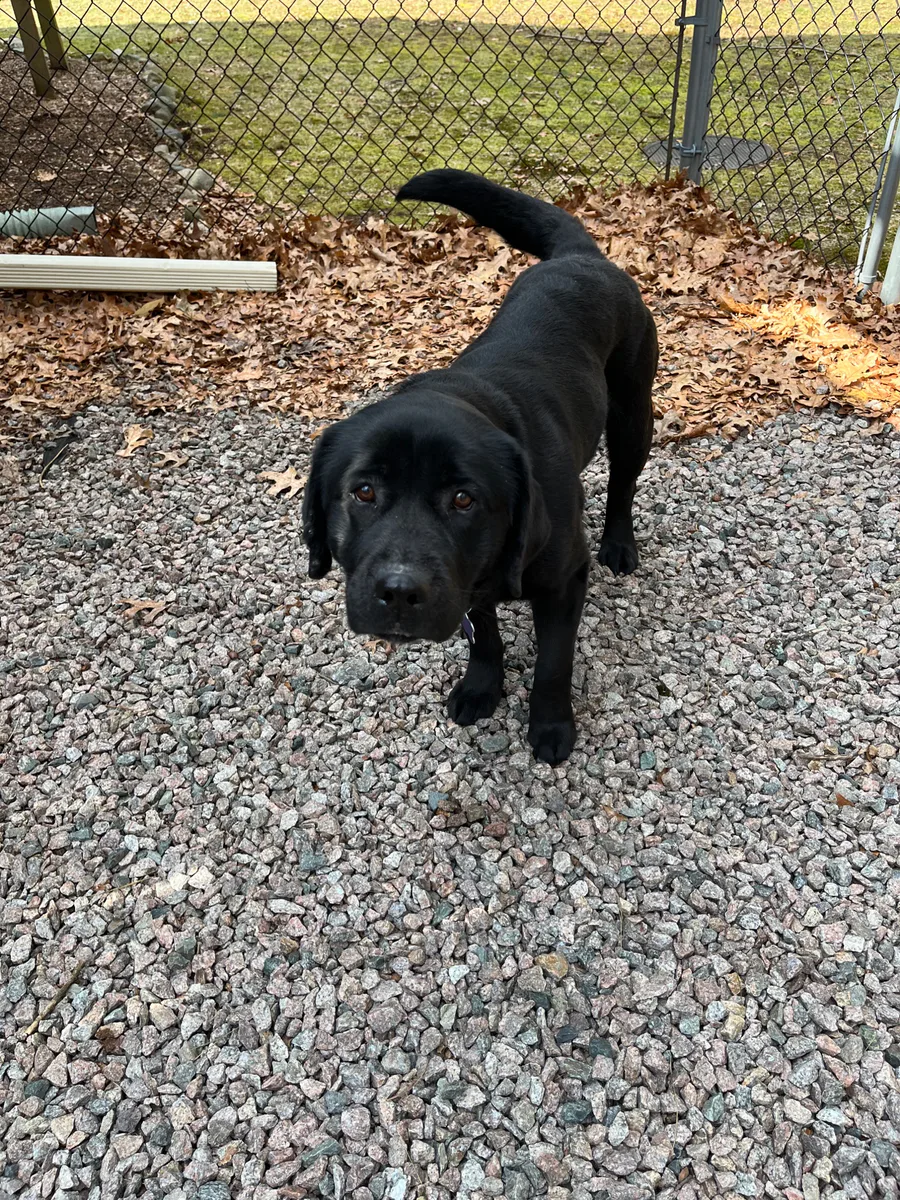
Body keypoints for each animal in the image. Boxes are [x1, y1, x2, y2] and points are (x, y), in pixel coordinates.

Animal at [302, 169, 657, 764]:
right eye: (364, 492)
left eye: (463, 499)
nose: (399, 591)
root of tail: (580, 256)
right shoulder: (469, 584)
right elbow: (485, 636)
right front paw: (480, 687)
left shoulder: (564, 580)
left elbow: (553, 663)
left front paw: (551, 725)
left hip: (635, 414)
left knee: (622, 483)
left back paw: (618, 543)